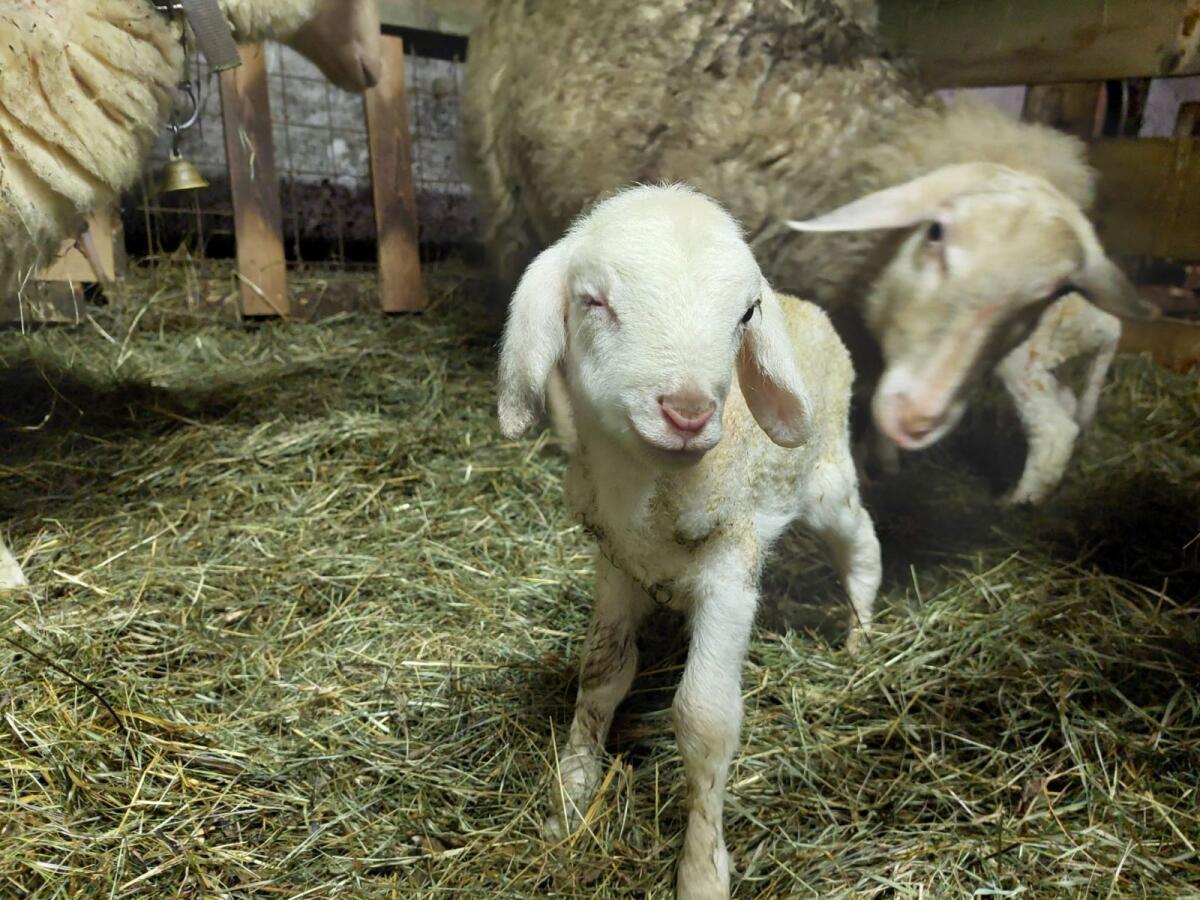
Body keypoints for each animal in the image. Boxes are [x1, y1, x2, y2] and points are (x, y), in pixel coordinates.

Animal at [498, 184, 882, 899]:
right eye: (593, 301)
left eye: (744, 314)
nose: (688, 412)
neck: (648, 494)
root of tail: (807, 306)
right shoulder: (615, 565)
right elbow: (600, 675)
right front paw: (571, 798)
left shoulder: (731, 571)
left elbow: (704, 719)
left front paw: (702, 869)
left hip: (824, 476)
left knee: (863, 543)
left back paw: (861, 636)